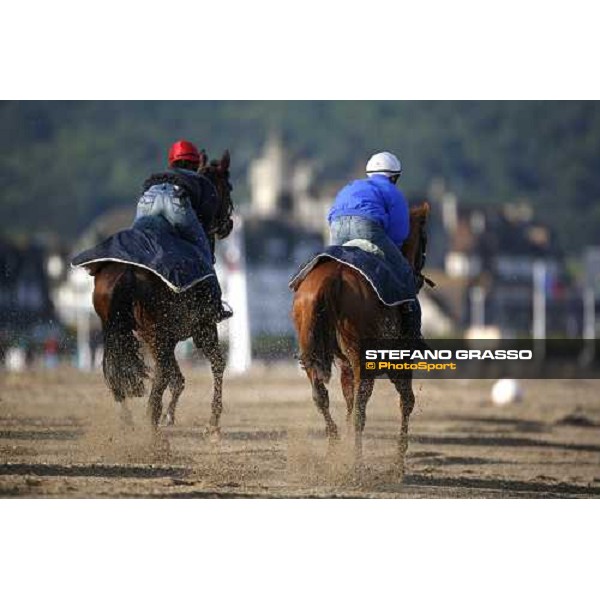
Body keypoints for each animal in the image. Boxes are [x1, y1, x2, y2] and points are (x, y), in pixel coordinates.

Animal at [89, 149, 234, 432]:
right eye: (228, 186)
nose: (229, 224)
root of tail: (130, 271)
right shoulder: (202, 329)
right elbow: (216, 365)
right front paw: (213, 423)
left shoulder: (164, 339)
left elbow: (177, 378)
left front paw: (171, 416)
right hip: (157, 334)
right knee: (156, 389)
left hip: (122, 333)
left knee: (119, 379)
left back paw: (130, 425)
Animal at [292, 204, 428, 476]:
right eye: (425, 240)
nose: (419, 278)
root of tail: (333, 278)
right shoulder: (398, 364)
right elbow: (406, 402)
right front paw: (398, 463)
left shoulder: (346, 367)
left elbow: (347, 401)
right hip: (364, 362)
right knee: (360, 411)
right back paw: (356, 463)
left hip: (313, 354)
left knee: (321, 397)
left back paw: (335, 450)